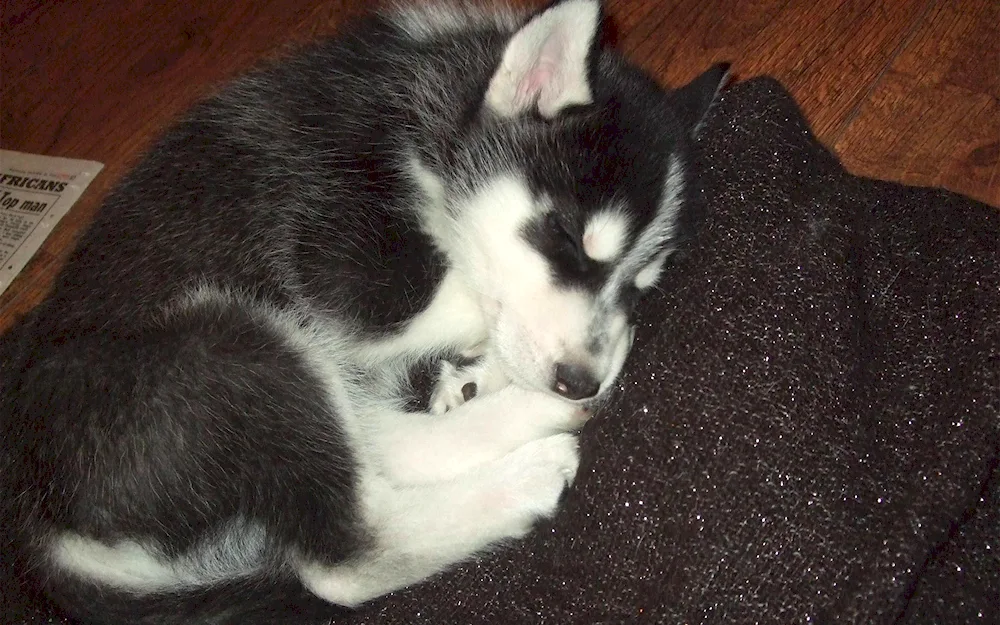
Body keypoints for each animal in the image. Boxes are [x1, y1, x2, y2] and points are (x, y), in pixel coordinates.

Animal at [0, 0, 728, 620]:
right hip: (234, 341)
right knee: (346, 556)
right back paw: (530, 463)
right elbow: (469, 295)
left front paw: (484, 371)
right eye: (568, 241)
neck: (428, 131)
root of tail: (45, 535)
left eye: (640, 284)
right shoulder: (346, 274)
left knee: (379, 448)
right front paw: (507, 359)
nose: (579, 380)